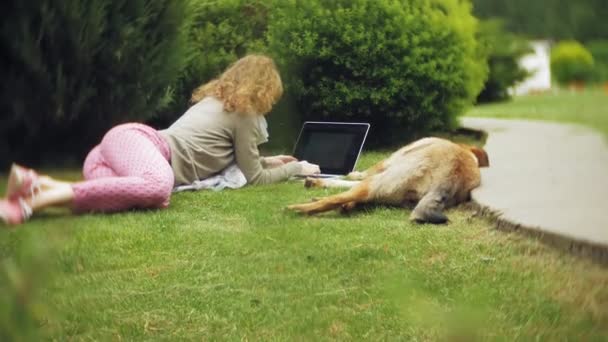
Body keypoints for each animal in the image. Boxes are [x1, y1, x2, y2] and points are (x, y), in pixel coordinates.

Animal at [286, 138, 490, 223]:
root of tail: (452, 174)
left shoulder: (382, 167)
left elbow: (353, 177)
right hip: (390, 190)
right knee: (353, 196)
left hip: (383, 180)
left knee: (339, 198)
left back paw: (298, 208)